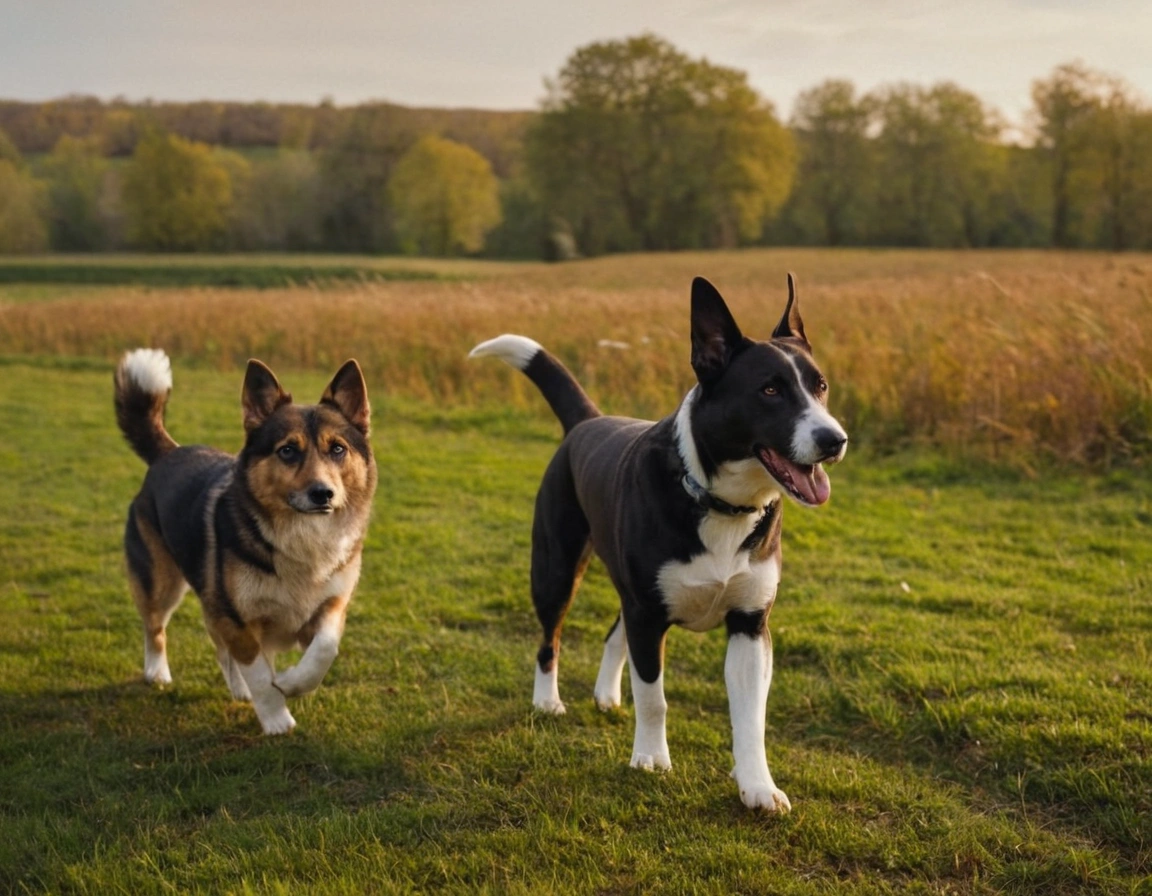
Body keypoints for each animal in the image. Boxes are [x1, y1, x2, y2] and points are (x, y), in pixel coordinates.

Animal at [467, 274, 847, 810]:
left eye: (821, 386)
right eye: (770, 389)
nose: (835, 440)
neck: (720, 503)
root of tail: (588, 420)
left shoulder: (750, 623)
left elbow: (750, 715)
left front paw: (757, 785)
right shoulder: (648, 614)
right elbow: (653, 697)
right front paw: (650, 758)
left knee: (613, 630)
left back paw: (606, 694)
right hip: (556, 566)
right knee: (550, 636)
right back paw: (547, 700)